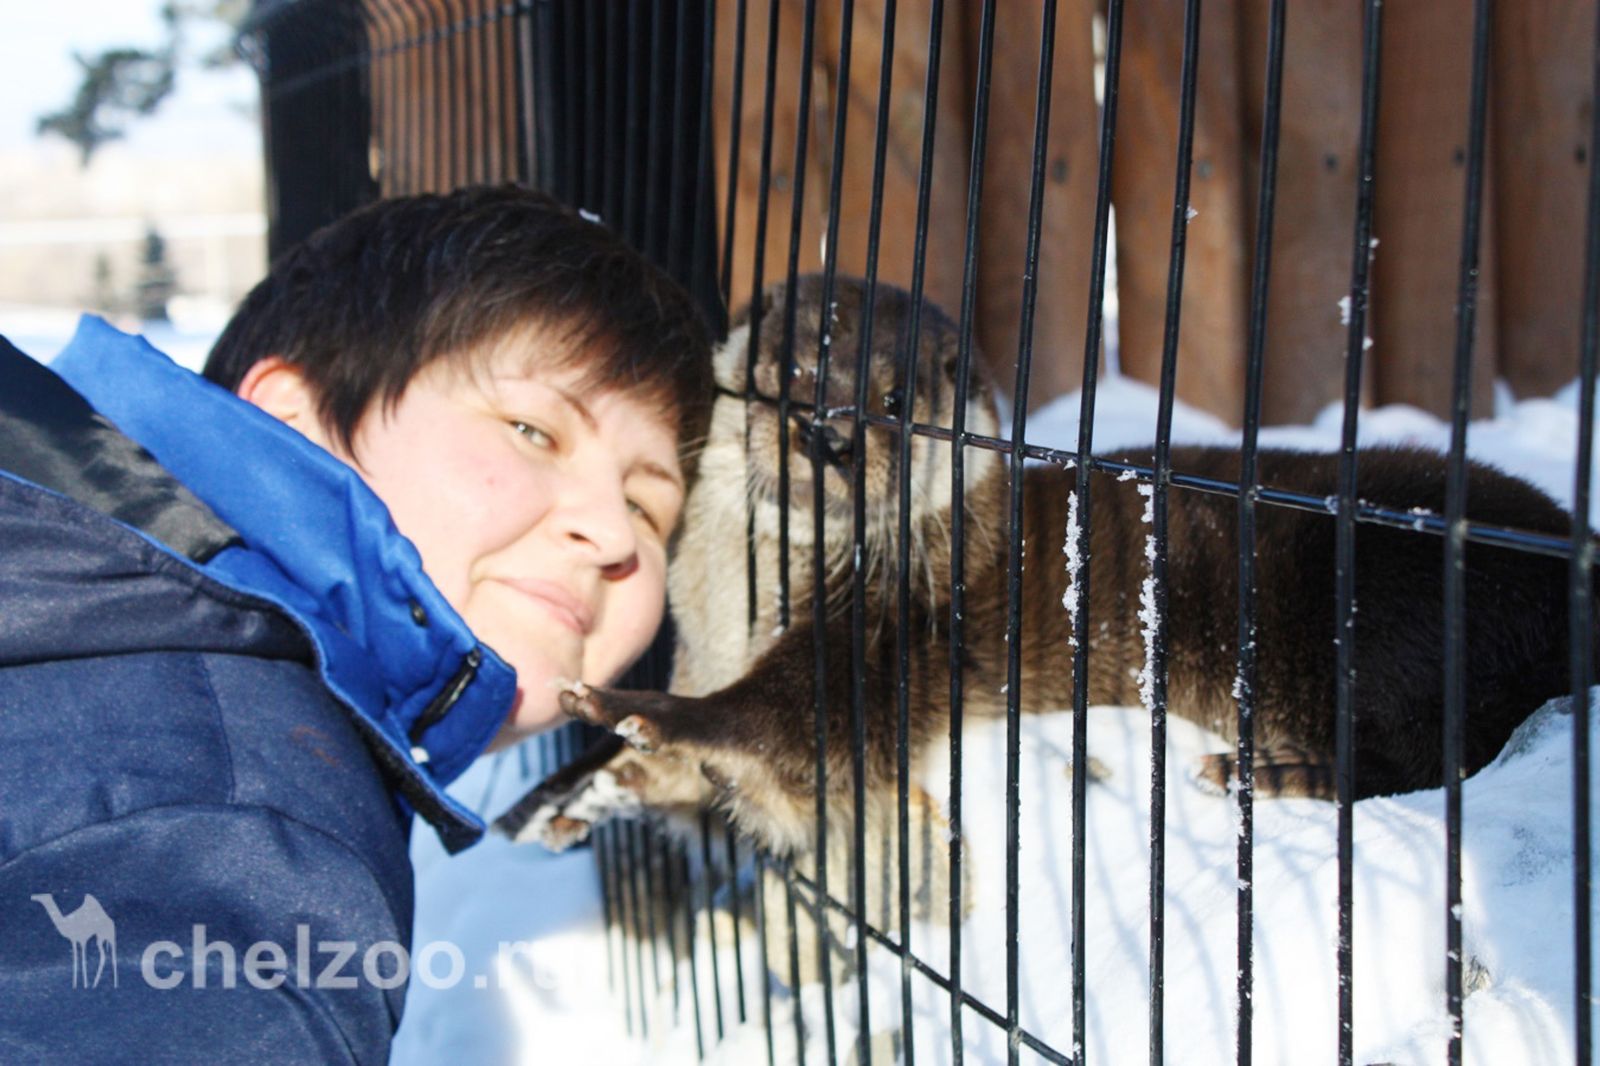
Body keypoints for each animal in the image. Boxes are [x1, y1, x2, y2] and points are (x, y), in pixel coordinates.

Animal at [496, 270, 1574, 857]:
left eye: (896, 401)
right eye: (790, 371)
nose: (829, 433)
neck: (738, 604)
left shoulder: (888, 635)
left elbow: (784, 723)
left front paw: (636, 714)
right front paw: (566, 792)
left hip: (1386, 607)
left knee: (1441, 755)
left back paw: (1267, 770)